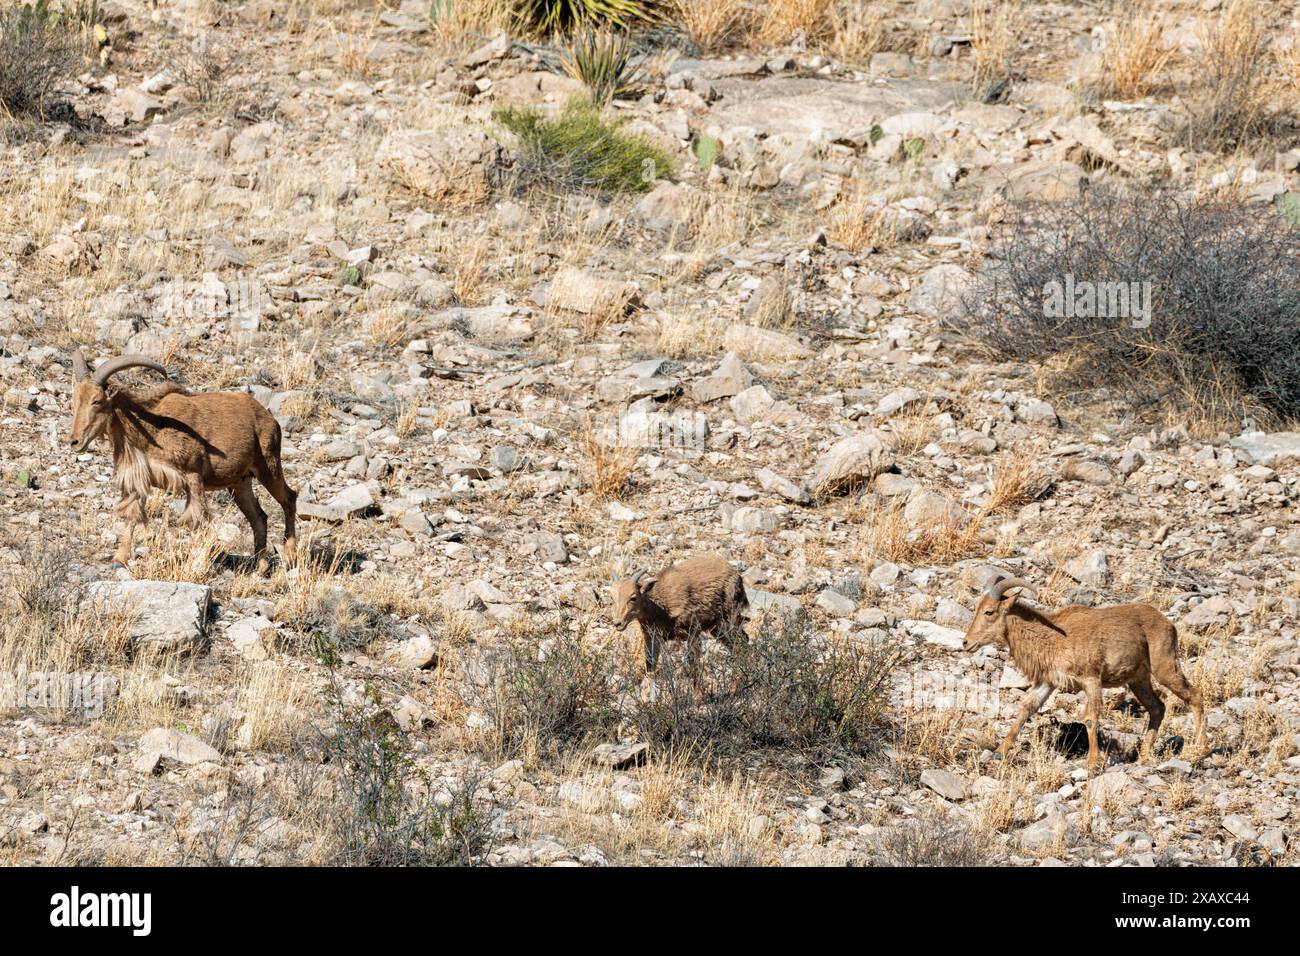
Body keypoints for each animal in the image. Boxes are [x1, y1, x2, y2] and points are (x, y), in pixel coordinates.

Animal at [68, 351, 297, 568]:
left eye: (96, 401)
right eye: (75, 401)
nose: (74, 442)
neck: (152, 428)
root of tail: (269, 418)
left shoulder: (192, 474)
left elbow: (195, 519)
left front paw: (196, 563)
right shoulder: (140, 478)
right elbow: (133, 513)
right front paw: (120, 558)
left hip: (268, 466)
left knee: (289, 498)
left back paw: (290, 555)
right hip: (240, 483)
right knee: (259, 517)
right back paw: (260, 566)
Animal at [611, 554, 749, 680]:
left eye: (633, 597)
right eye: (612, 597)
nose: (618, 623)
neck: (660, 609)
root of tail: (737, 575)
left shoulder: (693, 632)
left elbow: (694, 668)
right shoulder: (652, 638)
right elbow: (650, 667)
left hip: (730, 618)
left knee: (742, 640)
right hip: (717, 628)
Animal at [962, 572, 1205, 771]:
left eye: (989, 612)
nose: (966, 642)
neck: (1055, 638)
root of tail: (1169, 624)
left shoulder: (1091, 679)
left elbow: (1090, 717)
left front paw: (1092, 762)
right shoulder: (1048, 682)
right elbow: (1025, 710)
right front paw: (999, 751)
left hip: (1165, 667)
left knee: (1194, 695)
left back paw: (1199, 748)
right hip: (1138, 680)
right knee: (1157, 707)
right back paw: (1144, 755)